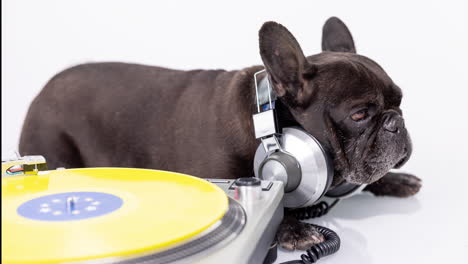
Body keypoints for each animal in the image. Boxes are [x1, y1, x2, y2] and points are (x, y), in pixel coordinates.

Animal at [19, 17, 420, 250]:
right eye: (359, 114)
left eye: (399, 102)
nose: (395, 122)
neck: (268, 128)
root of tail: (43, 89)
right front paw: (294, 229)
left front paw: (393, 180)